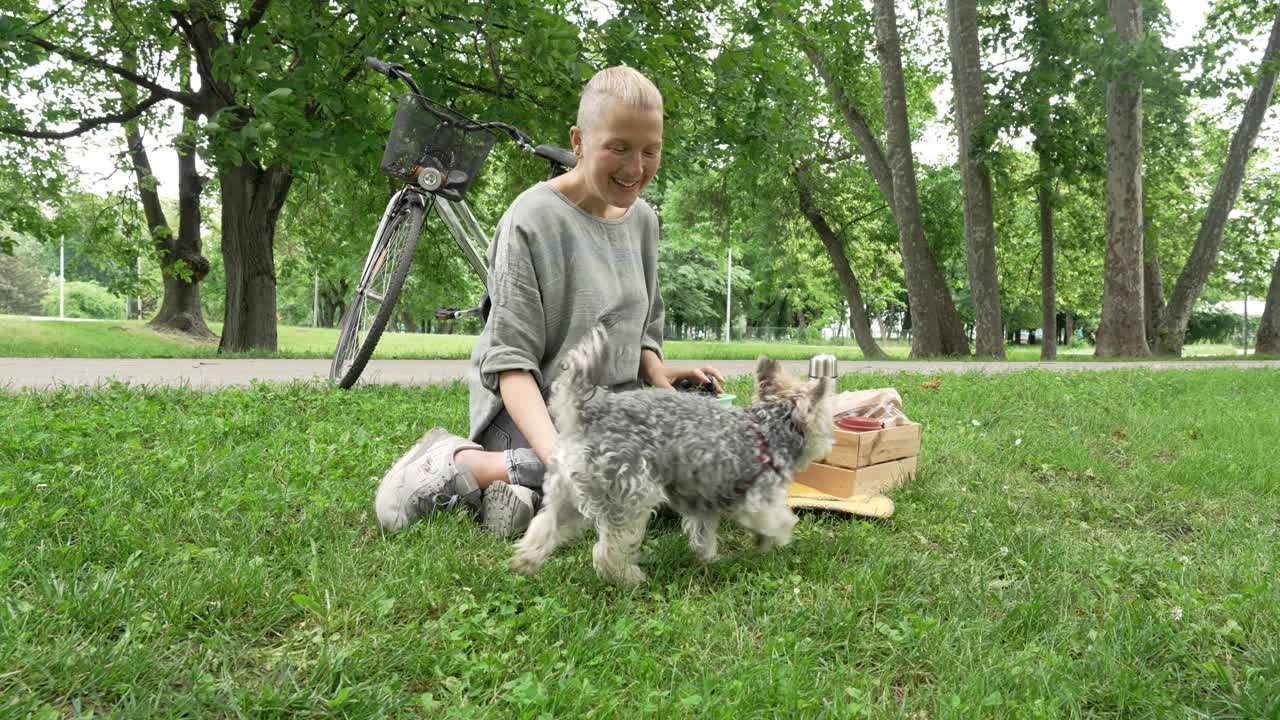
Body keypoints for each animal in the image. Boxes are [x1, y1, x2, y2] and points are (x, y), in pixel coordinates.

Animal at [512, 319, 839, 584]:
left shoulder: (704, 501)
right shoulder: (757, 500)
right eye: (829, 420)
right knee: (607, 551)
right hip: (631, 493)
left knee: (545, 524)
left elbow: (703, 535)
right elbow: (780, 520)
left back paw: (525, 561)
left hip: (567, 492)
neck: (767, 426)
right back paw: (628, 578)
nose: (830, 441)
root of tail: (590, 411)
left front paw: (712, 559)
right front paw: (777, 540)